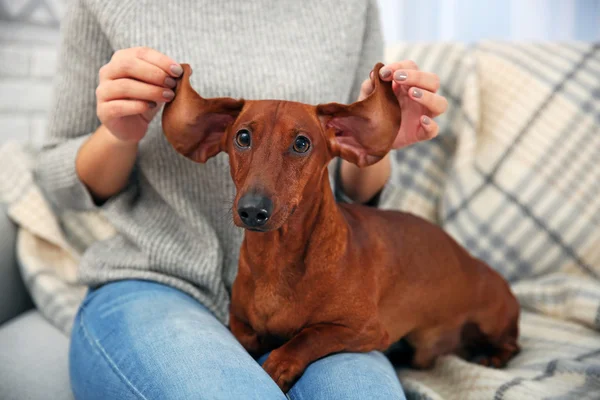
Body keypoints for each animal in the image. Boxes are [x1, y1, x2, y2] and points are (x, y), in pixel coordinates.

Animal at [161, 63, 520, 394]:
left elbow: (308, 336)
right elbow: (248, 336)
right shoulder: (238, 321)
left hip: (492, 321)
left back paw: (493, 357)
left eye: (302, 143)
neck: (277, 259)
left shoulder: (363, 329)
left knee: (512, 344)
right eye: (243, 137)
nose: (252, 211)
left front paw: (278, 364)